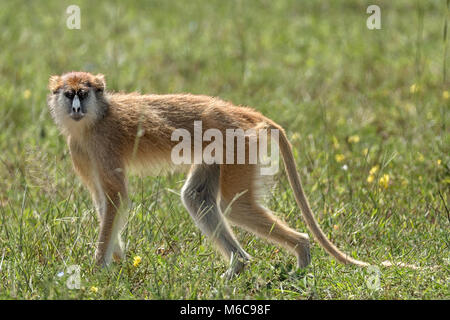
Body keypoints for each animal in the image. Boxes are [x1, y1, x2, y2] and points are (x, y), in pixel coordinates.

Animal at [47, 71, 376, 276]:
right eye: (69, 94)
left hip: (238, 145)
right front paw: (116, 259)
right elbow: (105, 202)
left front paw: (98, 270)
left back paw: (301, 251)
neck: (96, 117)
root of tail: (243, 113)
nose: (75, 107)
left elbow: (116, 199)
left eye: (83, 94)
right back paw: (240, 266)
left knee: (236, 205)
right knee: (197, 197)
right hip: (221, 152)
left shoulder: (104, 143)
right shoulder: (80, 149)